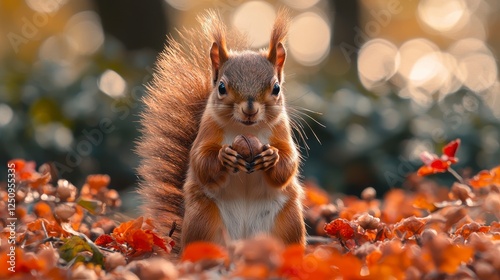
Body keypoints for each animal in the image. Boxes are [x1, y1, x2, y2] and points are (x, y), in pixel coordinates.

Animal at [137, 10, 304, 254]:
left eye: (276, 88)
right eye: (222, 87)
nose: (250, 109)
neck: (246, 128)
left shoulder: (281, 131)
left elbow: (288, 163)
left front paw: (271, 156)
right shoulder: (207, 130)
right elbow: (201, 160)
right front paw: (225, 156)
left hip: (288, 223)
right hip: (203, 219)